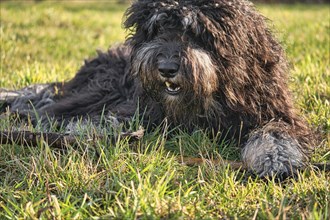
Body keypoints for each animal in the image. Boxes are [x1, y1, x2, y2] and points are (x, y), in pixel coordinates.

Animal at [1, 0, 314, 179]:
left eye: (194, 31)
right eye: (159, 29)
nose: (166, 68)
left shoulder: (274, 109)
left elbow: (275, 131)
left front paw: (276, 157)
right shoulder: (141, 106)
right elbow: (118, 119)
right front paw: (87, 130)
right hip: (100, 90)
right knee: (48, 106)